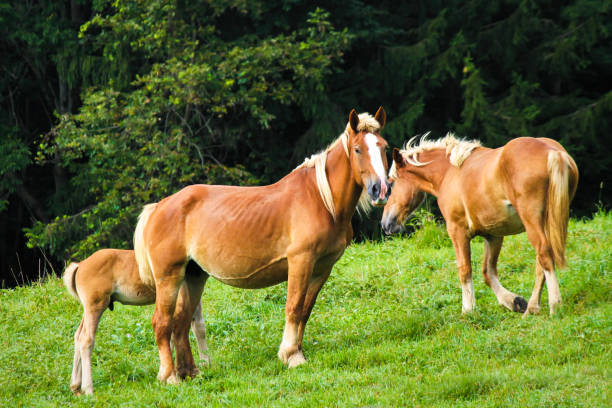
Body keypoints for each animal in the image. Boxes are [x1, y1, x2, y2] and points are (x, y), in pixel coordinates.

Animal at [63, 249, 209, 396]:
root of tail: (80, 265)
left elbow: (199, 327)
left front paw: (206, 364)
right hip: (95, 306)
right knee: (86, 339)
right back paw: (88, 389)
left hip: (88, 310)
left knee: (78, 335)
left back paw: (75, 386)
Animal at [136, 107, 390, 384]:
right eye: (357, 149)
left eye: (384, 147)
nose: (380, 190)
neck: (322, 200)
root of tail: (158, 207)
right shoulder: (301, 261)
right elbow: (293, 307)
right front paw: (291, 356)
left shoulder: (322, 268)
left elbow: (305, 310)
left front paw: (297, 351)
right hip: (169, 278)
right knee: (162, 323)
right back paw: (170, 376)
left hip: (193, 276)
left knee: (181, 323)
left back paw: (189, 372)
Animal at [382, 134, 580, 316]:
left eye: (391, 183)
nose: (385, 223)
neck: (449, 172)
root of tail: (553, 152)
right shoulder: (493, 235)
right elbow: (488, 272)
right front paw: (513, 301)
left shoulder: (457, 232)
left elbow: (465, 269)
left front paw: (468, 309)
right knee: (541, 261)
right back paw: (532, 307)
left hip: (533, 222)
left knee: (544, 254)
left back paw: (555, 305)